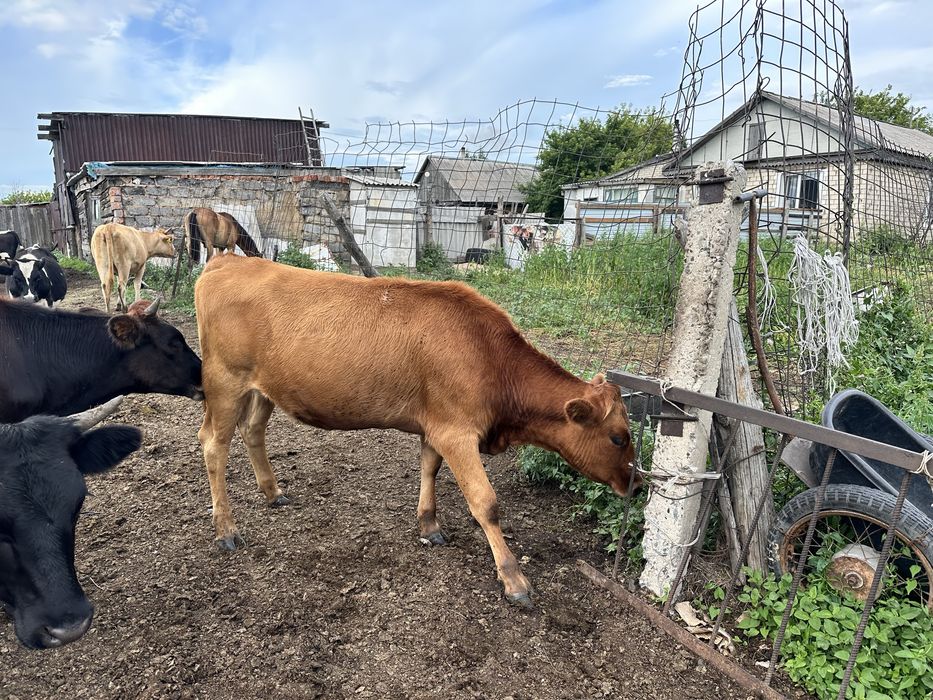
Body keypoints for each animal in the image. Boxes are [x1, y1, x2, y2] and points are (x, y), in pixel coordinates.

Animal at [194, 255, 638, 607]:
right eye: (618, 437)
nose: (635, 486)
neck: (491, 357)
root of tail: (227, 260)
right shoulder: (458, 433)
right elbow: (485, 503)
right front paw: (514, 579)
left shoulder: (436, 425)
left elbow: (429, 468)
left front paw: (429, 525)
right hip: (224, 382)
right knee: (214, 444)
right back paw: (225, 530)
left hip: (263, 389)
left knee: (253, 431)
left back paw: (273, 493)